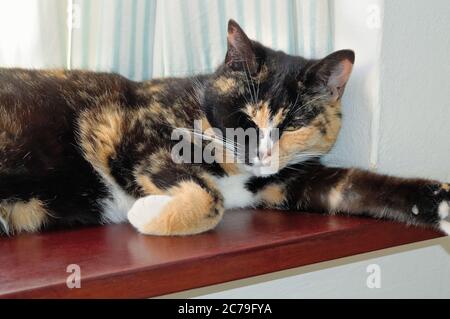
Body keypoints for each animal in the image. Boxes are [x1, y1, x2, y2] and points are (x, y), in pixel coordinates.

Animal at [0, 19, 450, 235]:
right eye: (246, 117)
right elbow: (209, 197)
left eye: (294, 123)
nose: (264, 153)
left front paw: (441, 201)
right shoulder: (120, 125)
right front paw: (145, 214)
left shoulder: (292, 179)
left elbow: (356, 185)